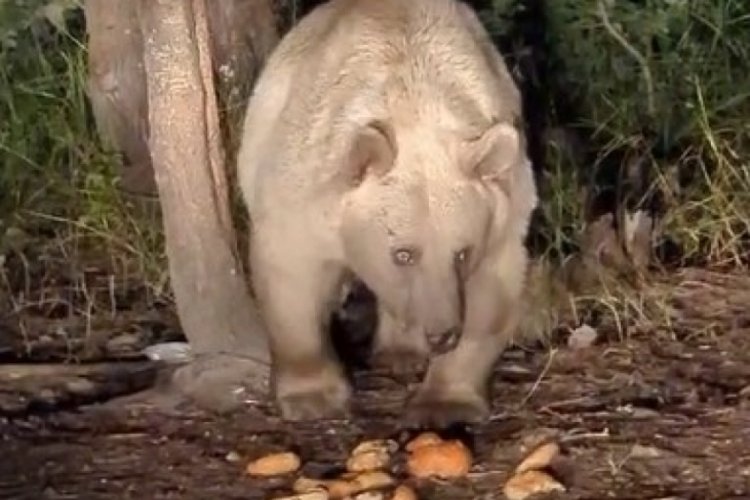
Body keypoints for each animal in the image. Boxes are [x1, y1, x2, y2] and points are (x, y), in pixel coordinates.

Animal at [238, 0, 536, 426]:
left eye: (461, 253)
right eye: (403, 253)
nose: (441, 333)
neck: (414, 107)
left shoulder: (501, 213)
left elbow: (490, 293)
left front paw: (445, 401)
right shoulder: (307, 191)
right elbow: (292, 275)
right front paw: (313, 395)